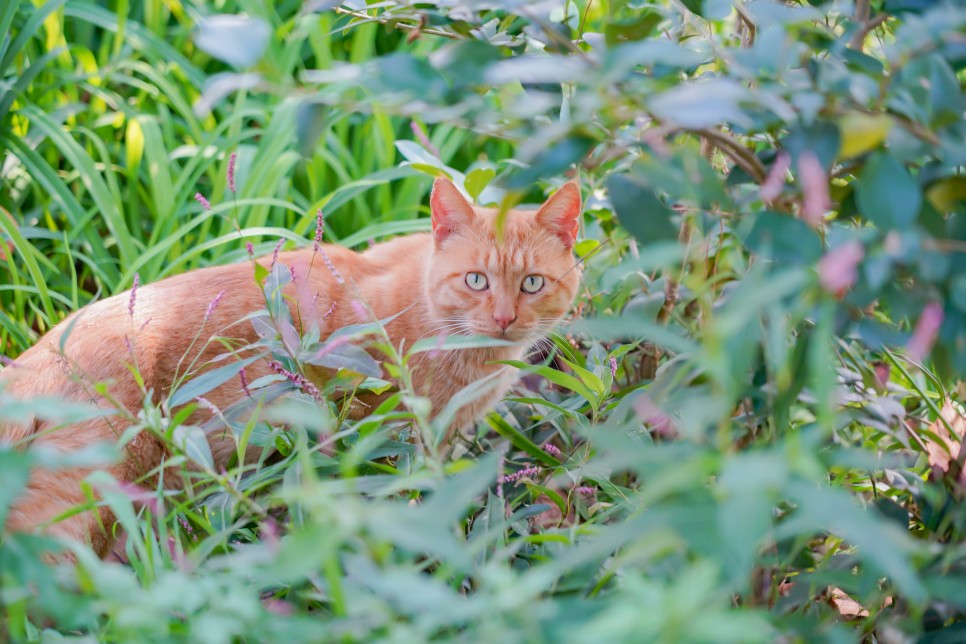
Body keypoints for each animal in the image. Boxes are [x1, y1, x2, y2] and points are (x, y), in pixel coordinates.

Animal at [0, 179, 584, 556]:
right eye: (476, 281)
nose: (504, 318)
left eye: (532, 283)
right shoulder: (392, 440)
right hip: (91, 482)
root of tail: (40, 354)